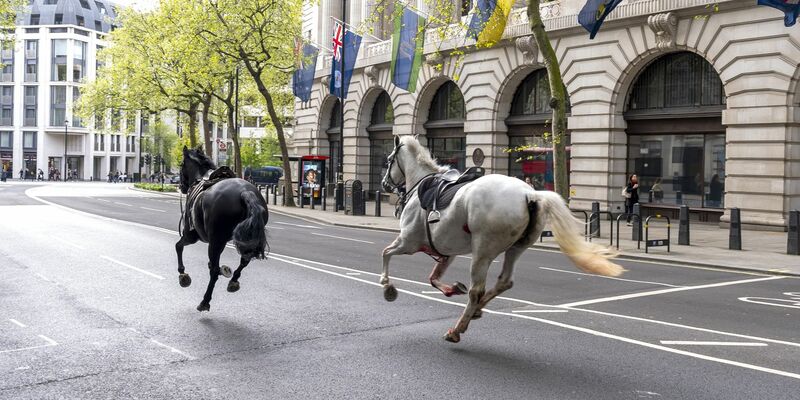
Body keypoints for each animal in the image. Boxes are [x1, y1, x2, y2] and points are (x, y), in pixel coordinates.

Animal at [176, 146, 269, 312]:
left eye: (181, 165)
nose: (181, 186)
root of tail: (245, 192)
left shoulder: (191, 236)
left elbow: (178, 246)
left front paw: (183, 274)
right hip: (245, 238)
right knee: (244, 260)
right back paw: (233, 281)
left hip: (214, 241)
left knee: (214, 271)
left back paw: (205, 301)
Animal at [380, 135, 624, 343]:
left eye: (389, 160)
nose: (384, 184)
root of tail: (531, 194)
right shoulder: (446, 250)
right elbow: (433, 277)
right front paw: (451, 288)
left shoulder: (408, 242)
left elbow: (386, 253)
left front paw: (387, 286)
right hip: (516, 248)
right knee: (504, 281)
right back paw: (477, 310)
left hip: (482, 251)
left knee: (476, 290)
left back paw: (457, 329)